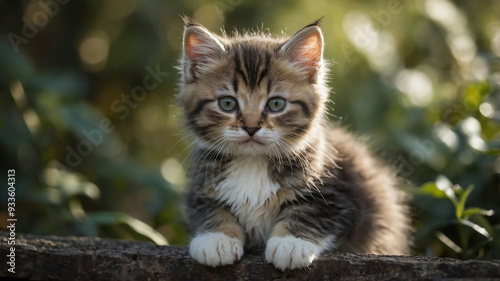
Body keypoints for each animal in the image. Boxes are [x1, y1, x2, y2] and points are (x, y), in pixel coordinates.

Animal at [178, 17, 412, 270]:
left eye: (276, 104)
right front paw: (216, 240)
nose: (251, 127)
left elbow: (309, 211)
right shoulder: (200, 185)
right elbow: (209, 208)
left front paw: (290, 244)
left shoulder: (341, 193)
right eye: (228, 103)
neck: (253, 162)